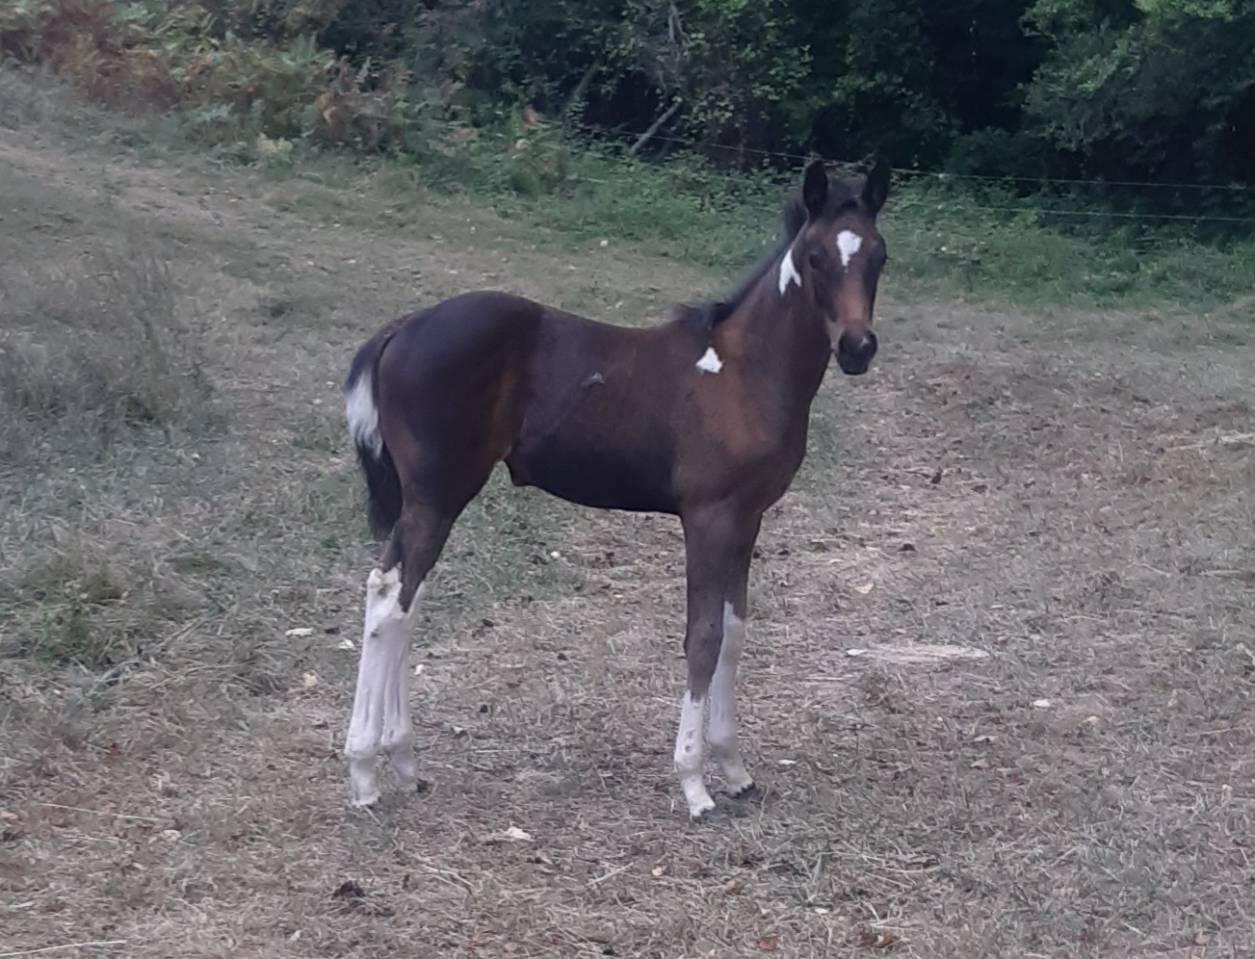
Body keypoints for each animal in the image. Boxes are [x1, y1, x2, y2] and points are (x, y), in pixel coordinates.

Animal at [341, 158, 891, 821]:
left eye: (879, 256)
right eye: (815, 257)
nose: (857, 348)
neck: (742, 371)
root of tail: (401, 329)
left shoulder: (748, 518)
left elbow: (733, 633)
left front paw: (735, 771)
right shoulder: (709, 516)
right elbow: (703, 636)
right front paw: (694, 784)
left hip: (429, 501)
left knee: (404, 599)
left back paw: (402, 763)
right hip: (437, 495)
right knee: (389, 601)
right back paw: (365, 775)